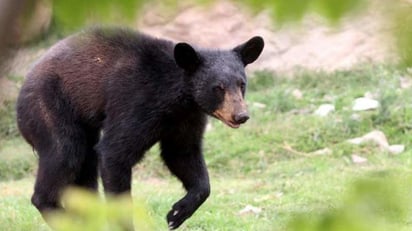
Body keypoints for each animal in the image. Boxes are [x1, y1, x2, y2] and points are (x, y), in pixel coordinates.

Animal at [16, 27, 264, 229]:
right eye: (218, 88)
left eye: (241, 84)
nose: (241, 116)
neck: (179, 98)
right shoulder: (136, 101)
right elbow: (115, 152)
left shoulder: (187, 118)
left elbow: (182, 153)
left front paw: (177, 213)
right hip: (50, 107)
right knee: (64, 153)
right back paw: (62, 216)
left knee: (86, 167)